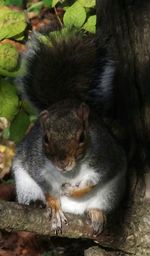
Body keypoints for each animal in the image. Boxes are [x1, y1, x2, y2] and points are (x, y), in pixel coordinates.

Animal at [12, 29, 126, 235]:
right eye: (45, 138)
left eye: (82, 137)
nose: (62, 163)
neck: (71, 172)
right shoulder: (36, 161)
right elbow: (46, 186)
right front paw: (54, 205)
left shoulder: (106, 156)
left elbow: (94, 180)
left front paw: (72, 191)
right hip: (25, 184)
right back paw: (37, 204)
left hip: (110, 194)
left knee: (98, 203)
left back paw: (96, 213)